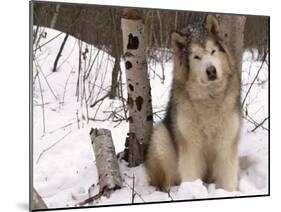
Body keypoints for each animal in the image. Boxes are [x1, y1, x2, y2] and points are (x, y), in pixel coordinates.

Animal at [145, 15, 240, 192]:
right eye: (196, 57)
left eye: (212, 51)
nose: (211, 70)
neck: (210, 98)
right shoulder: (190, 147)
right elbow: (190, 176)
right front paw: (191, 191)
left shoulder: (226, 144)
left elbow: (228, 180)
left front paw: (228, 193)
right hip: (162, 139)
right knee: (165, 182)